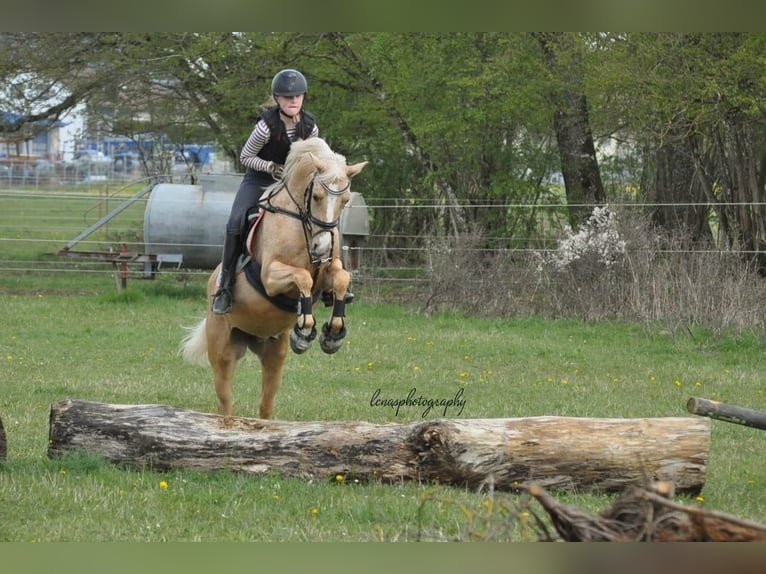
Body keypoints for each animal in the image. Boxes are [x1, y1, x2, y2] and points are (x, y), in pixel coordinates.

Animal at [183, 137, 368, 420]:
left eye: (346, 200)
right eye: (317, 196)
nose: (322, 248)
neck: (301, 222)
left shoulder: (328, 270)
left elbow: (341, 279)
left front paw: (333, 334)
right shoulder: (270, 276)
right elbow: (302, 278)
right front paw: (304, 329)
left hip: (274, 354)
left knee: (266, 405)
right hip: (223, 353)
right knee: (225, 403)